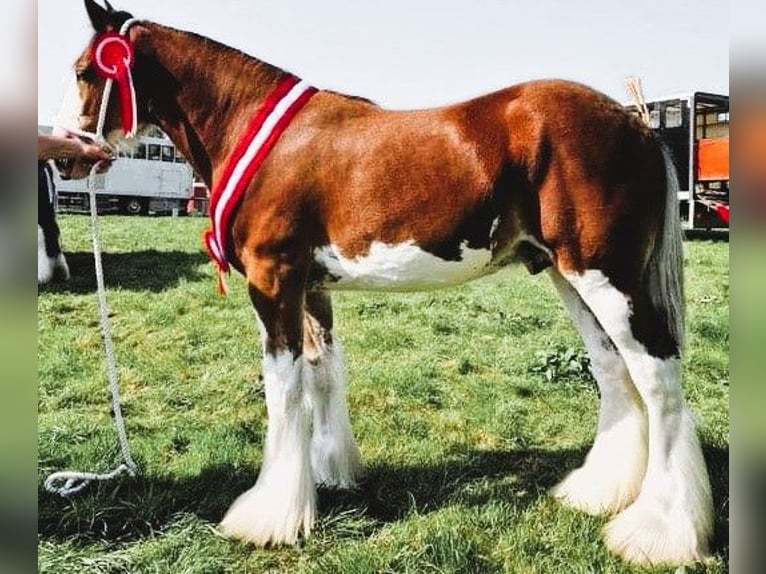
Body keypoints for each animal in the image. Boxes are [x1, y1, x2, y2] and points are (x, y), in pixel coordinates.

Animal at [57, 0, 716, 568]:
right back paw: (597, 493)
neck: (260, 135)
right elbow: (322, 376)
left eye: (86, 70)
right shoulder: (312, 288)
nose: (68, 155)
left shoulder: (274, 281)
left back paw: (659, 532)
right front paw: (328, 475)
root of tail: (634, 123)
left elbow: (283, 391)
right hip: (566, 275)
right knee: (612, 370)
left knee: (658, 378)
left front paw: (269, 516)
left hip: (606, 276)